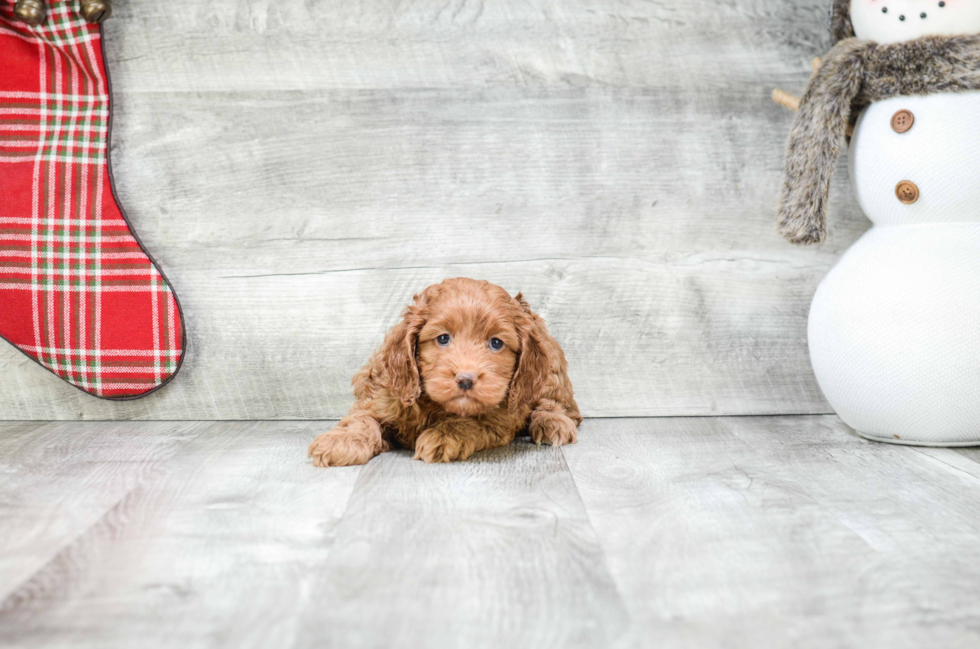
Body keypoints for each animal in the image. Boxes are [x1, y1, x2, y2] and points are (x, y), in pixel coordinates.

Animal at [310, 276, 580, 464]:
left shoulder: (501, 417)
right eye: (442, 338)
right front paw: (342, 441)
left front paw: (445, 435)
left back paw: (553, 423)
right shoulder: (380, 395)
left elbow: (472, 421)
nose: (465, 379)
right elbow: (361, 419)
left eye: (496, 343)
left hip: (551, 373)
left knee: (558, 406)